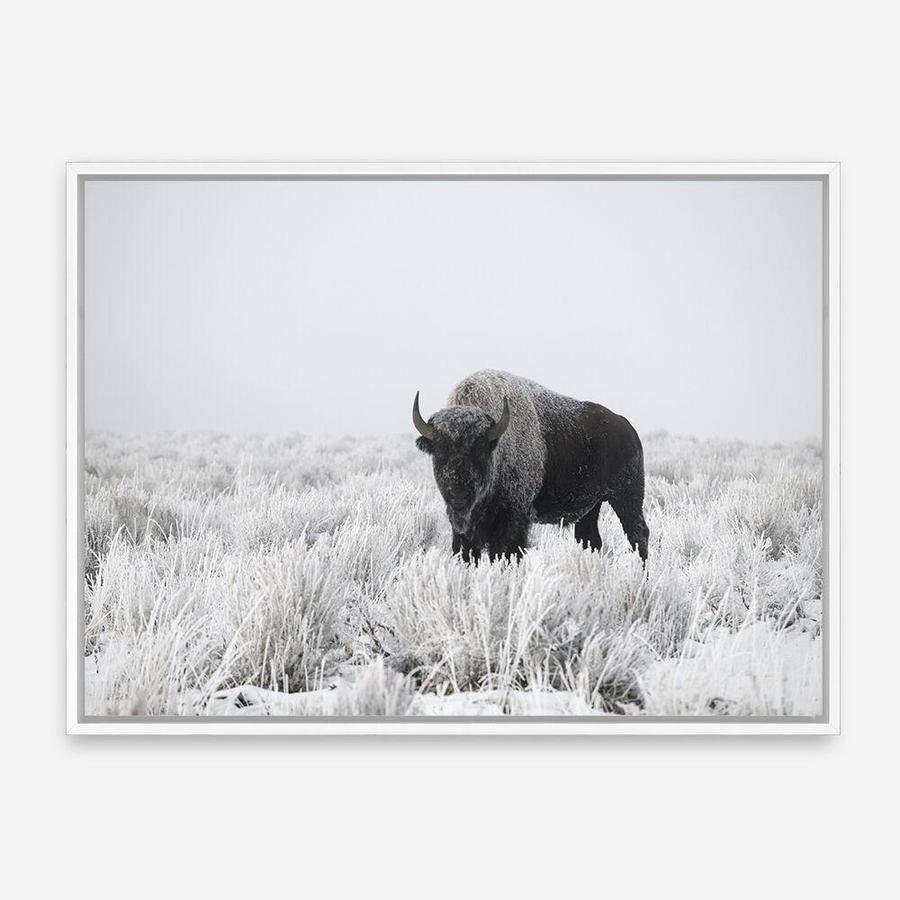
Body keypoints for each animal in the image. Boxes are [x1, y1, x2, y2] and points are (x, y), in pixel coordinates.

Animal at [413, 369, 649, 563]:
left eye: (479, 449)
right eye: (439, 450)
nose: (459, 494)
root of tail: (628, 429)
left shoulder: (514, 520)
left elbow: (506, 553)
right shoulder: (463, 530)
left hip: (626, 496)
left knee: (638, 534)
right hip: (592, 506)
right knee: (590, 540)